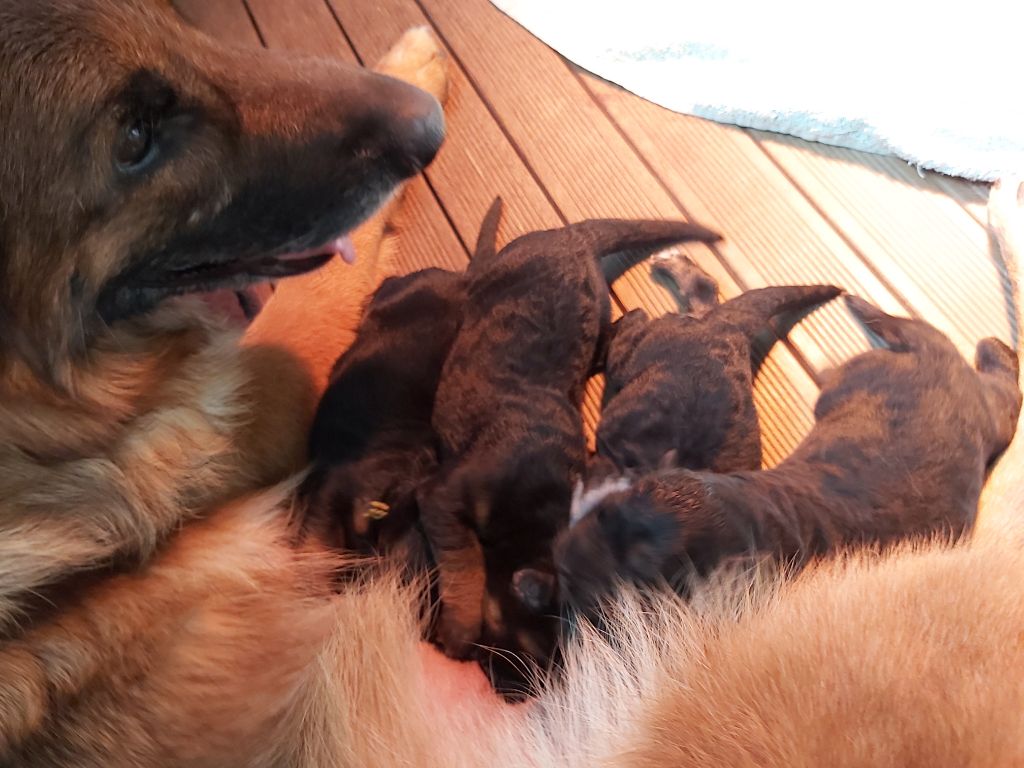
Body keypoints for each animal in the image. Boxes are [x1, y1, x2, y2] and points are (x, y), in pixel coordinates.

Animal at [415, 199, 720, 696]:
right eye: (518, 647)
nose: (514, 698)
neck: (535, 520)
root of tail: (573, 236)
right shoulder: (442, 497)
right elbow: (464, 560)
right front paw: (460, 628)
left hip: (595, 305)